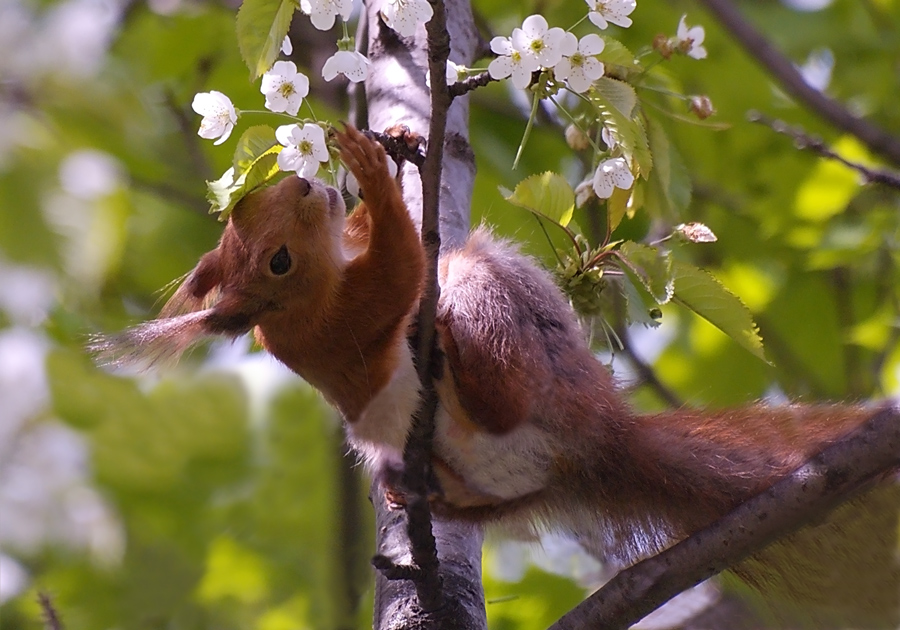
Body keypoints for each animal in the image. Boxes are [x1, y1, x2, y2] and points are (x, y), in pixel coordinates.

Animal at [95, 127, 876, 568]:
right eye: (276, 261)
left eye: (246, 204)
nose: (308, 182)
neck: (302, 304)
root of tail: (598, 439)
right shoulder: (348, 317)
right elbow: (403, 268)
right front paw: (375, 174)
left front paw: (392, 142)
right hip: (494, 312)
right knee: (493, 378)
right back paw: (452, 357)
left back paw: (415, 490)